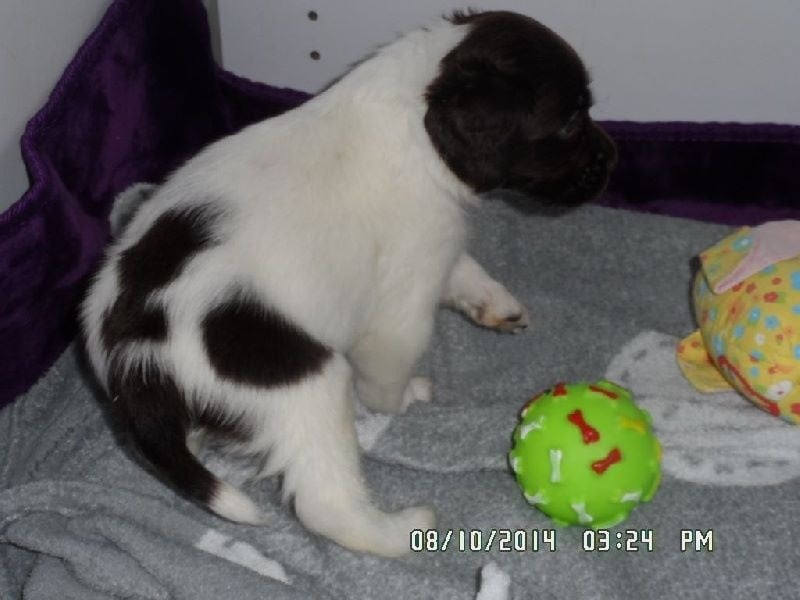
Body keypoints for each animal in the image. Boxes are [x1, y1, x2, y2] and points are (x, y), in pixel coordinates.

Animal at [81, 10, 616, 557]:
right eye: (569, 122)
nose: (614, 158)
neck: (413, 119)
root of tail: (136, 358)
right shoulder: (403, 303)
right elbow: (388, 375)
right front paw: (404, 398)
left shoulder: (438, 246)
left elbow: (464, 269)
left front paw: (497, 305)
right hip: (305, 383)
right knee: (325, 504)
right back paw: (402, 529)